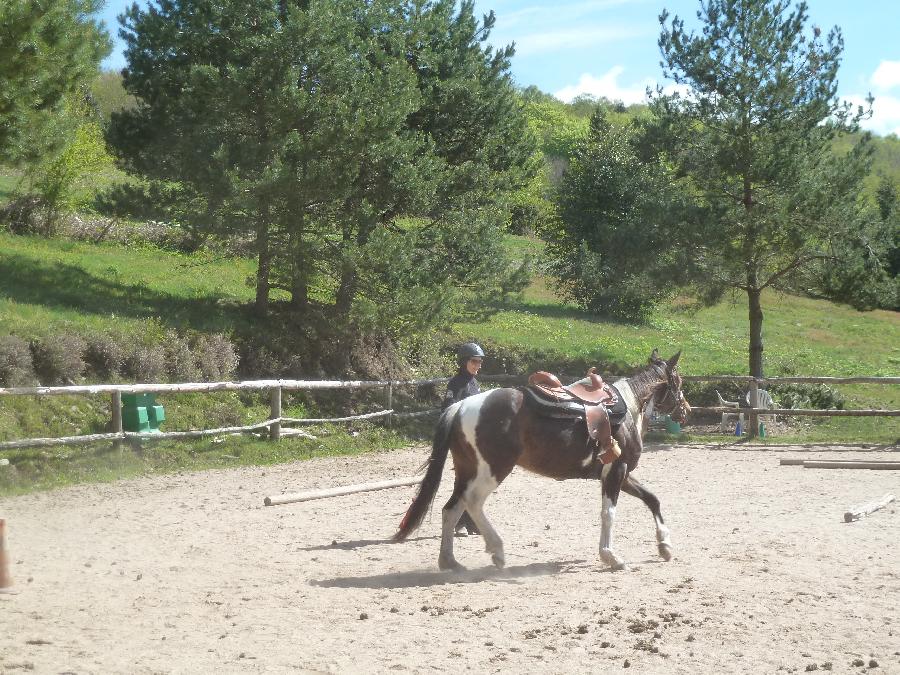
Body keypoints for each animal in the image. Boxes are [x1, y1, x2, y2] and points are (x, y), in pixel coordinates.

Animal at [392, 352, 688, 572]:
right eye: (679, 381)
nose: (685, 410)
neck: (629, 407)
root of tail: (461, 406)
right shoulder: (617, 471)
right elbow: (609, 513)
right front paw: (610, 556)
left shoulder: (620, 473)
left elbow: (652, 499)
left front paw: (665, 546)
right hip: (492, 471)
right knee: (472, 503)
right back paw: (497, 551)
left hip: (466, 471)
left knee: (451, 509)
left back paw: (450, 562)